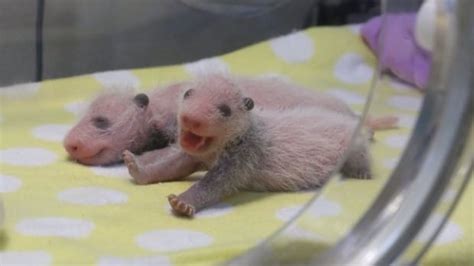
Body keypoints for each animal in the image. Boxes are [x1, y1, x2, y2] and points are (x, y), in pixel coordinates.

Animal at [167, 74, 378, 216]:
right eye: (187, 94)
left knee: (360, 153)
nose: (190, 118)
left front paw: (182, 202)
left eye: (225, 110)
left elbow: (216, 184)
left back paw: (362, 172)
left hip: (352, 142)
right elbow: (175, 164)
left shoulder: (245, 153)